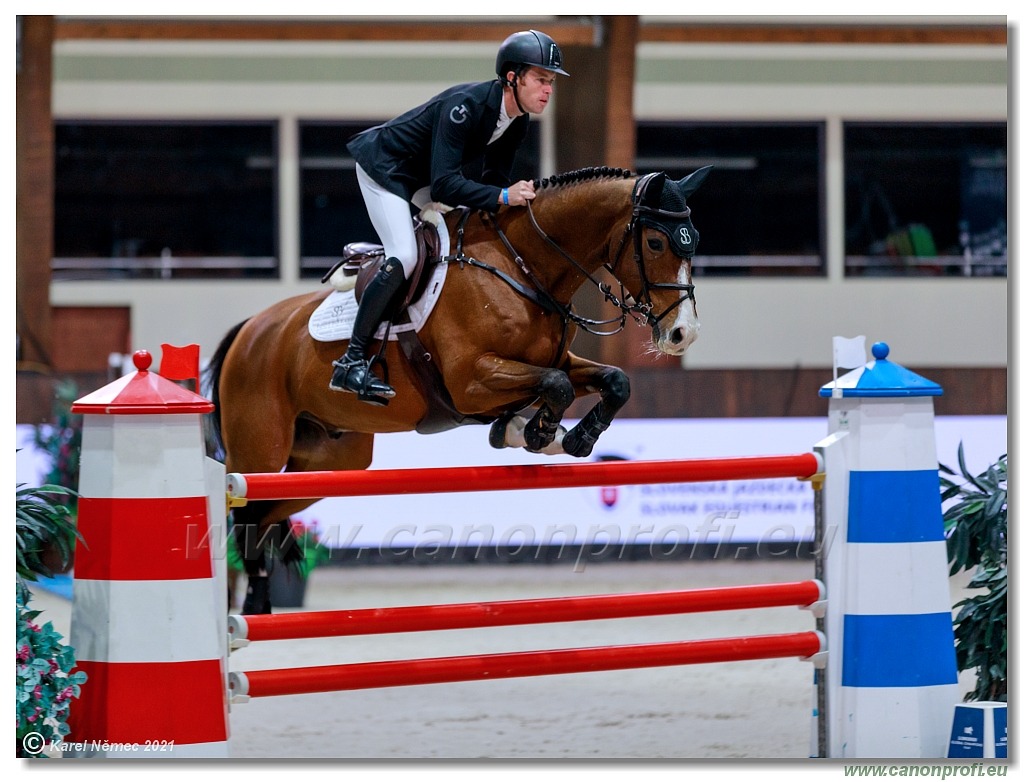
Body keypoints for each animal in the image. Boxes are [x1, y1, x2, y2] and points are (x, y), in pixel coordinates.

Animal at [203, 164, 708, 614]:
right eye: (656, 242)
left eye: (694, 242)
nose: (683, 334)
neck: (521, 267)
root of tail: (249, 330)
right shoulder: (470, 381)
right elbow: (556, 385)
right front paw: (538, 432)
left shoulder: (552, 361)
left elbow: (611, 381)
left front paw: (566, 436)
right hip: (260, 449)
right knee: (242, 516)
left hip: (330, 460)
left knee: (262, 519)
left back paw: (257, 606)